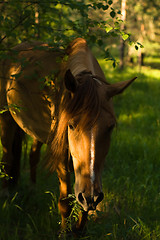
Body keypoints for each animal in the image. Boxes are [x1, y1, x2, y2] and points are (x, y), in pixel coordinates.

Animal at [0, 38, 136, 232]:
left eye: (110, 127)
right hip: (6, 118)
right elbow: (65, 201)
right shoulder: (61, 156)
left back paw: (32, 189)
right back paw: (5, 194)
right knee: (8, 156)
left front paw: (79, 230)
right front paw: (65, 232)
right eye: (71, 125)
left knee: (33, 156)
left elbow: (84, 201)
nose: (93, 197)